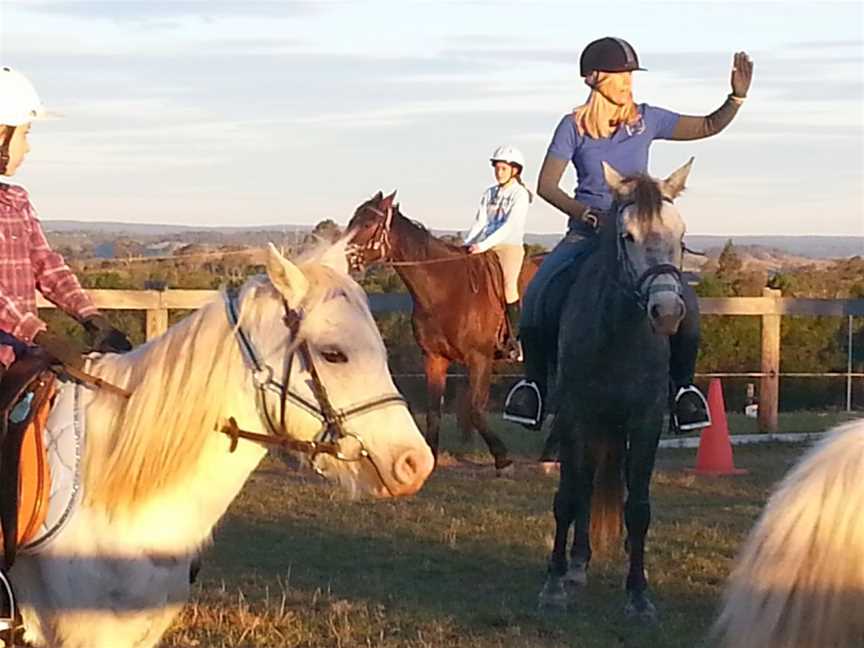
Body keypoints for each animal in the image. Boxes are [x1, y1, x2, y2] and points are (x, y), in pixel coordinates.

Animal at [346, 191, 540, 470]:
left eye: (368, 224)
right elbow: (433, 412)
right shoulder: (435, 358)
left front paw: (503, 459)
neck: (447, 289)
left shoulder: (480, 359)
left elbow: (475, 410)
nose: (342, 255)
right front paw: (430, 458)